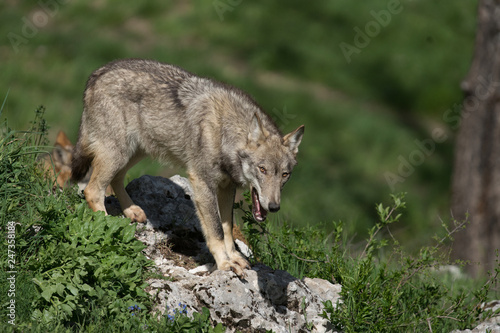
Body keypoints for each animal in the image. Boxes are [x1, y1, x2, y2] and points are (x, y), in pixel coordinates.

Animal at [71, 58, 304, 276]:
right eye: (262, 169)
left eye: (285, 174)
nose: (274, 207)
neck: (224, 131)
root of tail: (98, 72)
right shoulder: (202, 183)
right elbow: (216, 231)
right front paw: (225, 264)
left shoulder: (227, 187)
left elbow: (227, 228)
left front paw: (235, 258)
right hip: (118, 153)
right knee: (92, 190)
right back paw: (107, 225)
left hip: (135, 151)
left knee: (117, 179)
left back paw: (132, 211)